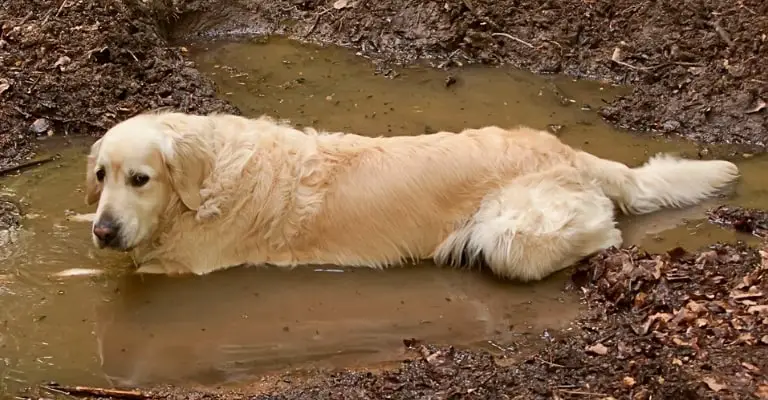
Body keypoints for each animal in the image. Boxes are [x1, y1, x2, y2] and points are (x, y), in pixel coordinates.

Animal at [82, 111, 736, 280]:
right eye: (101, 176)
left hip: (510, 236)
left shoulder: (182, 266)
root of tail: (567, 152)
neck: (209, 176)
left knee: (601, 228)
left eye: (140, 178)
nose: (103, 231)